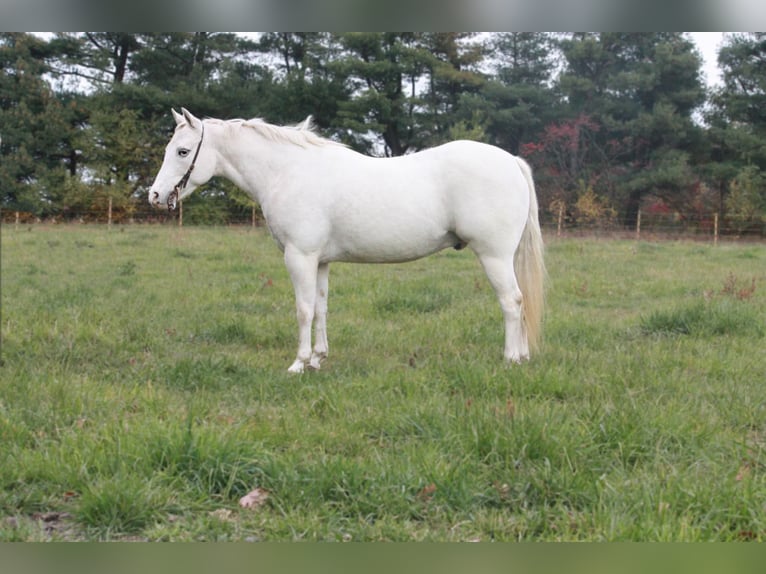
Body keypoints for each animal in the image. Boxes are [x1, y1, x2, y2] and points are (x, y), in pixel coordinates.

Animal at [150, 110, 544, 376]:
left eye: (183, 151)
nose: (155, 195)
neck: (288, 172)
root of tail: (510, 161)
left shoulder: (299, 256)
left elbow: (303, 309)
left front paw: (298, 363)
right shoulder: (320, 261)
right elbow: (321, 308)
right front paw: (318, 358)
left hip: (493, 256)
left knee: (512, 302)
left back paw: (510, 359)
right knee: (521, 301)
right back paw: (523, 357)